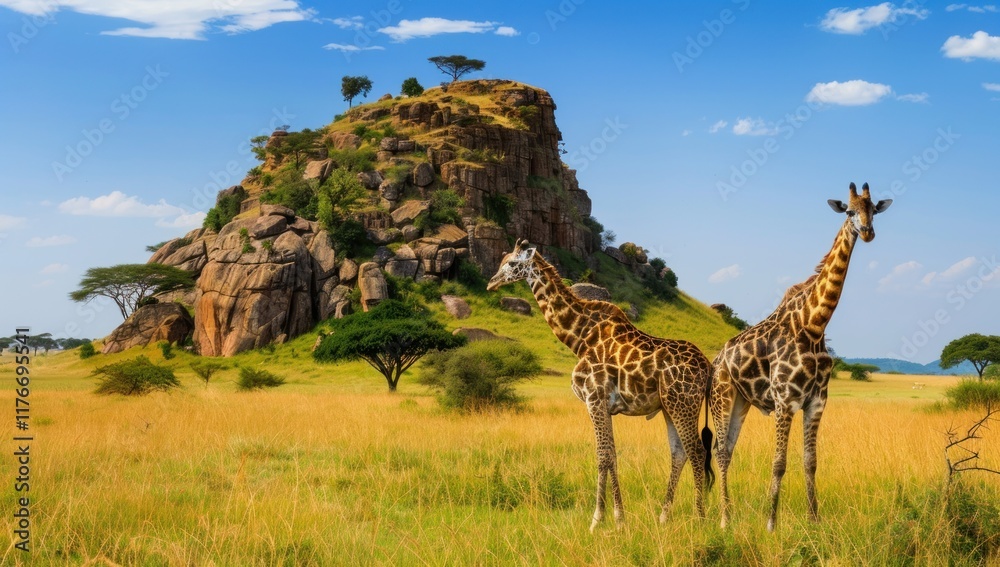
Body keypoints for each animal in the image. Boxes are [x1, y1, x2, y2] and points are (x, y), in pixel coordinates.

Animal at [486, 239, 715, 532]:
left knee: (696, 451)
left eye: (513, 263)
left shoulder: (594, 398)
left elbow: (602, 455)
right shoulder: (605, 405)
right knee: (679, 453)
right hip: (669, 407)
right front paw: (615, 518)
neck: (579, 337)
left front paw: (600, 520)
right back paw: (664, 517)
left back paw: (701, 519)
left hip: (683, 404)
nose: (491, 283)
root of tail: (707, 367)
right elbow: (611, 454)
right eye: (501, 261)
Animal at [710, 182, 892, 531]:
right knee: (721, 452)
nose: (867, 232)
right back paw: (724, 519)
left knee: (727, 448)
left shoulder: (817, 401)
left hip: (741, 401)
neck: (814, 324)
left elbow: (810, 462)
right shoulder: (785, 400)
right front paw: (771, 523)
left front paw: (814, 520)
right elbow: (779, 463)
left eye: (874, 210)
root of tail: (716, 361)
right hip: (721, 395)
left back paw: (732, 515)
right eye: (849, 211)